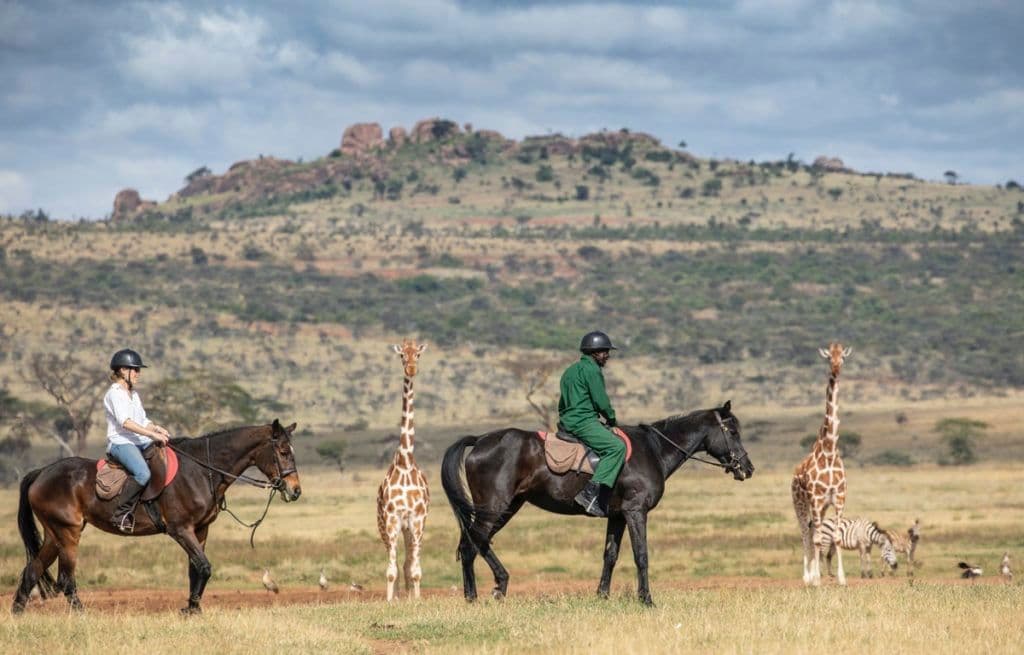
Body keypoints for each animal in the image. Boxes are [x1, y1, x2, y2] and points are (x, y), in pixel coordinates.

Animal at [12, 419, 299, 614]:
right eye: (284, 452)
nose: (296, 491)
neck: (200, 471)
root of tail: (41, 473)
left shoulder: (200, 529)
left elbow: (195, 569)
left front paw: (193, 609)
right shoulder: (180, 529)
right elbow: (204, 567)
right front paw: (190, 609)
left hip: (54, 534)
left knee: (32, 571)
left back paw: (17, 613)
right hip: (68, 533)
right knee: (65, 579)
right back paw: (81, 615)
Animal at [440, 401, 753, 605]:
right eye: (733, 432)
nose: (747, 469)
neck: (654, 450)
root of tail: (481, 439)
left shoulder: (617, 516)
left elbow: (610, 555)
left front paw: (602, 596)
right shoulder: (635, 511)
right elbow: (641, 555)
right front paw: (646, 600)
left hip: (507, 507)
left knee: (471, 543)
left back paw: (475, 595)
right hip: (494, 506)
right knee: (474, 541)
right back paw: (493, 587)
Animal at [790, 343, 856, 589]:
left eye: (842, 357)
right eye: (828, 357)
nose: (836, 370)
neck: (828, 449)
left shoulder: (838, 498)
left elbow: (835, 537)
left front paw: (842, 579)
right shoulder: (817, 499)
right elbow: (818, 539)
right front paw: (817, 579)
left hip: (821, 506)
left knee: (811, 530)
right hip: (800, 502)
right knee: (805, 533)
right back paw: (807, 577)